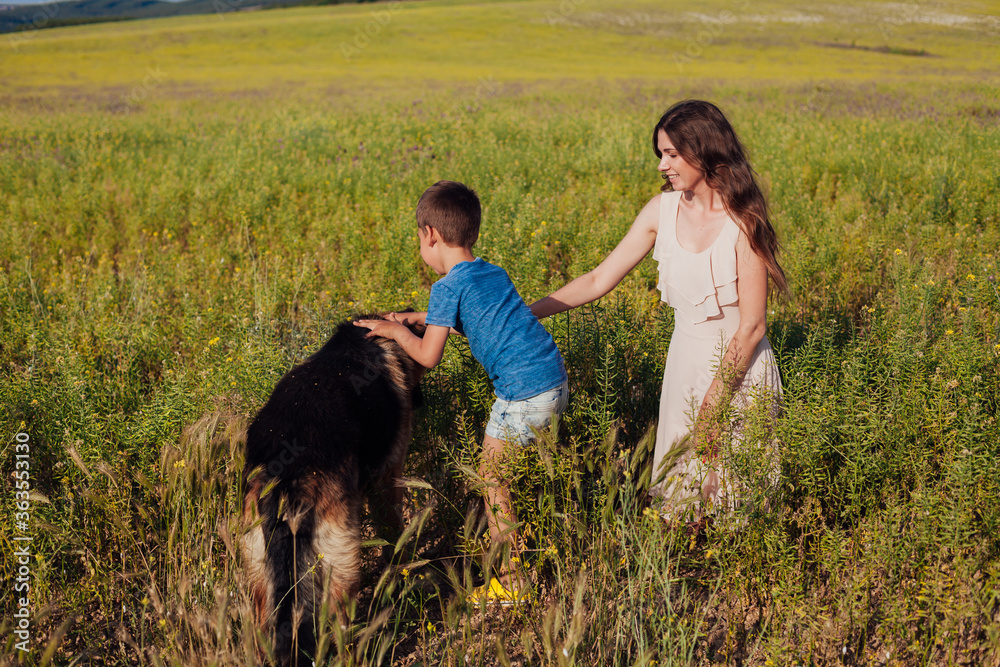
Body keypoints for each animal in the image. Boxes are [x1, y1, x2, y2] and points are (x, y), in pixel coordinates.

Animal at [244, 316, 428, 664]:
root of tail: (287, 477)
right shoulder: (388, 478)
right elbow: (392, 532)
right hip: (340, 570)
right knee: (343, 633)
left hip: (261, 573)